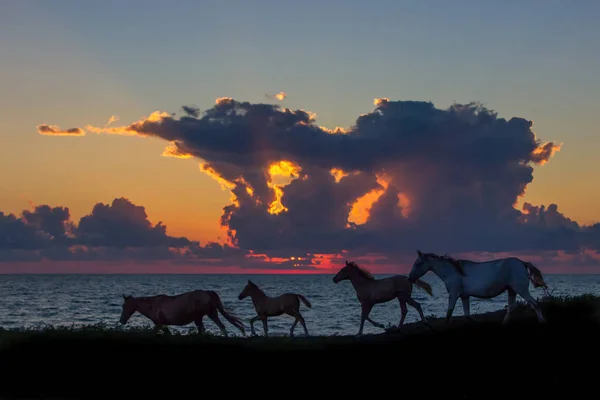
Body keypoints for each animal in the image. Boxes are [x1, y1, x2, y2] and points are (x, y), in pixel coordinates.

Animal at [408, 252, 548, 326]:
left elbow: (449, 313)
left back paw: (542, 321)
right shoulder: (464, 296)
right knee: (511, 307)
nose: (410, 278)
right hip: (511, 290)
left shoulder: (454, 294)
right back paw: (504, 323)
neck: (453, 272)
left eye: (418, 263)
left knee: (535, 304)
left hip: (521, 290)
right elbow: (467, 314)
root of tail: (522, 263)